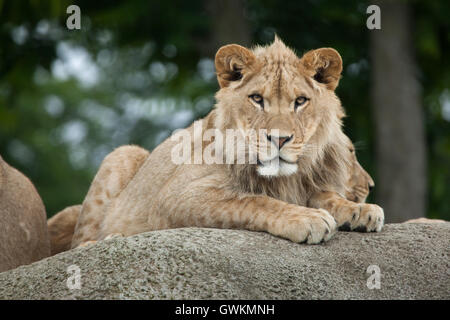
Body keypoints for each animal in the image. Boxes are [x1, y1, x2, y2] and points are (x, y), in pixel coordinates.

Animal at [59, 37, 384, 248]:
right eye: (257, 99)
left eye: (301, 101)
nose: (279, 139)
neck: (285, 178)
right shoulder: (175, 198)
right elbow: (253, 200)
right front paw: (306, 218)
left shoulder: (307, 184)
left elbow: (326, 195)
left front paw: (359, 211)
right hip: (123, 155)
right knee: (78, 244)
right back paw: (105, 241)